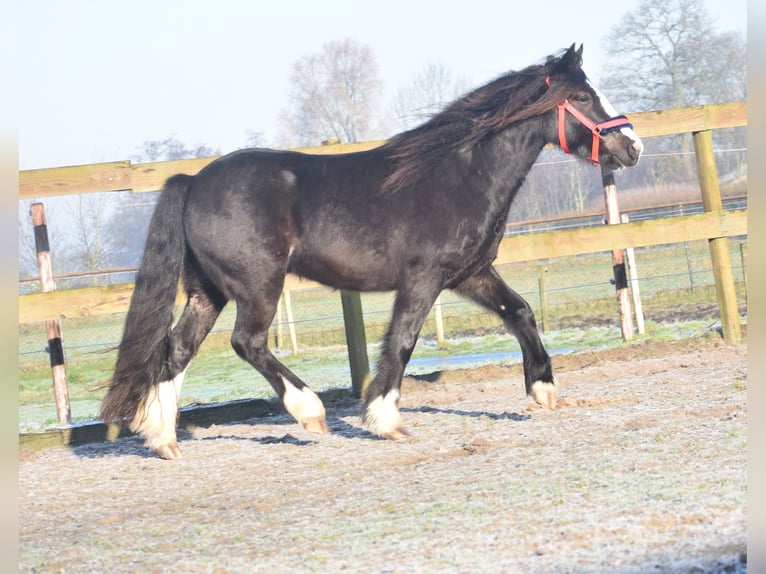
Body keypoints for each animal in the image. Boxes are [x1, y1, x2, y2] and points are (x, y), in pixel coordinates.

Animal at [100, 44, 640, 460]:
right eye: (583, 96)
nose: (631, 148)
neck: (459, 174)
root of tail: (192, 182)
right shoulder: (424, 278)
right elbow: (402, 341)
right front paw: (384, 419)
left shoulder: (470, 273)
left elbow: (521, 311)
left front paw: (543, 390)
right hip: (257, 285)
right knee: (246, 342)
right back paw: (310, 413)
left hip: (208, 291)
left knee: (177, 349)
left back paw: (163, 439)